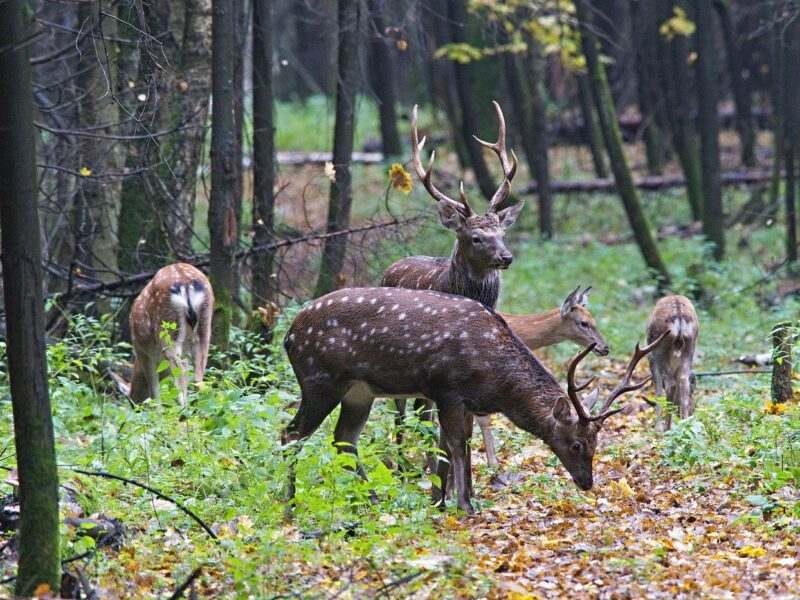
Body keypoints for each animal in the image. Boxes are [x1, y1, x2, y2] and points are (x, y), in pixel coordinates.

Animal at [130, 262, 214, 406]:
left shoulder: (143, 352)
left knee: (182, 371)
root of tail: (185, 281)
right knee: (199, 378)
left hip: (167, 329)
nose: (132, 401)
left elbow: (154, 390)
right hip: (205, 324)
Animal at [282, 288, 668, 512]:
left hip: (359, 392)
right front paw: (464, 504)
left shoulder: (464, 401)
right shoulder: (446, 389)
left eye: (596, 443)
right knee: (292, 434)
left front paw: (442, 499)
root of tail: (288, 336)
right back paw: (290, 503)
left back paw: (374, 498)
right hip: (320, 380)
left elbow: (455, 446)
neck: (495, 382)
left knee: (343, 439)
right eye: (575, 444)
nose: (587, 482)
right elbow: (455, 444)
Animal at [648, 292, 696, 428]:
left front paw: (657, 427)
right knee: (683, 382)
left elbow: (658, 391)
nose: (693, 412)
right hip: (690, 349)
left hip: (660, 351)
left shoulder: (652, 360)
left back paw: (665, 428)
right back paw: (683, 424)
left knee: (671, 385)